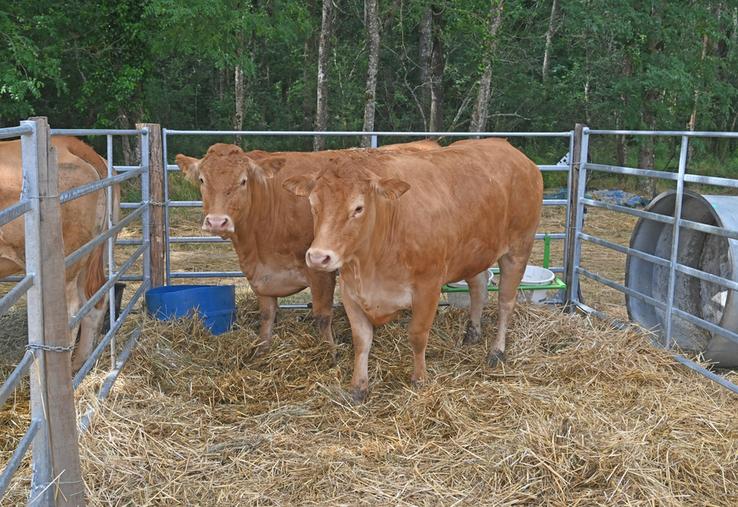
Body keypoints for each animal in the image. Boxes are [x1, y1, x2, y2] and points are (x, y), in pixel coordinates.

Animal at [0, 137, 118, 372]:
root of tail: (70, 142)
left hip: (67, 262)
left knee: (71, 309)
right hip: (94, 253)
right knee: (94, 300)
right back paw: (80, 364)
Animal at [174, 137, 436, 356]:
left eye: (243, 181)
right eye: (202, 180)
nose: (217, 221)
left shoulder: (319, 268)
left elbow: (322, 314)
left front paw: (329, 352)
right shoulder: (260, 274)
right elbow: (267, 313)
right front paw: (262, 349)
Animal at [284, 138, 544, 400]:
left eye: (358, 208)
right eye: (313, 205)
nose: (318, 257)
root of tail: (506, 146)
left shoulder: (428, 287)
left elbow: (418, 335)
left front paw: (419, 379)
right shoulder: (350, 290)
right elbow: (362, 339)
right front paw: (358, 386)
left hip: (519, 248)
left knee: (505, 302)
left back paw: (496, 351)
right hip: (474, 252)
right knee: (479, 288)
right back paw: (472, 334)